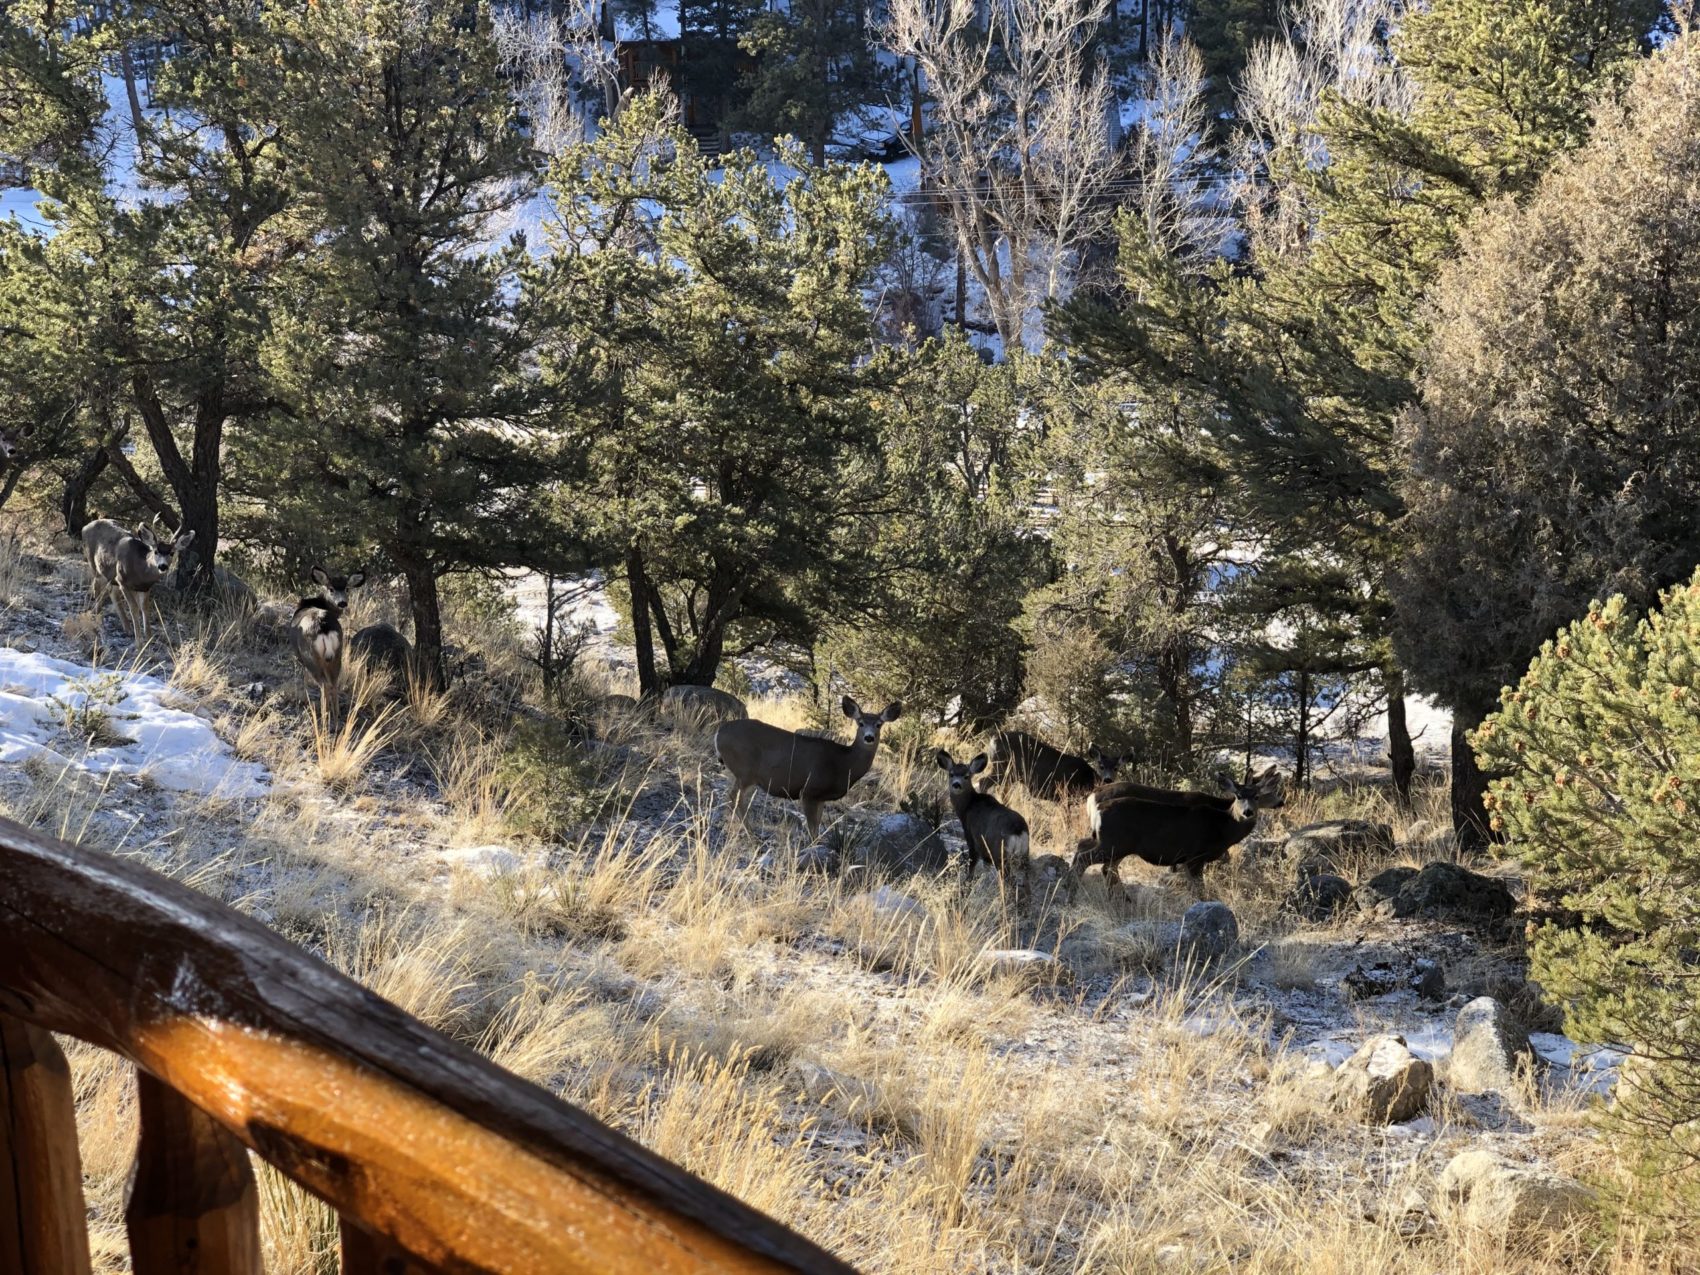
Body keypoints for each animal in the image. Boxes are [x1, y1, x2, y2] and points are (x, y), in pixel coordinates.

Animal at [295, 567, 365, 720]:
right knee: (334, 682)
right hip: (338, 653)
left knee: (324, 684)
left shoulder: (300, 658)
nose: (342, 603)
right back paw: (336, 714)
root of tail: (324, 627)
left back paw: (323, 713)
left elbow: (304, 679)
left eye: (347, 589)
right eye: (331, 589)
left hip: (311, 656)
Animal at [714, 693, 904, 843]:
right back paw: (751, 835)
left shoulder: (821, 797)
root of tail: (718, 733)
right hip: (745, 770)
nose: (869, 737)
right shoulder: (809, 790)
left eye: (879, 724)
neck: (843, 763)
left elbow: (817, 826)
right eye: (860, 723)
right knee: (734, 798)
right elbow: (812, 829)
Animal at [938, 754, 1026, 904]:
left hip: (1000, 852)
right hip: (1024, 854)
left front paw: (966, 886)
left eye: (966, 776)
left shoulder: (972, 836)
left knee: (1007, 879)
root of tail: (1018, 830)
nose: (956, 784)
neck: (967, 807)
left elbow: (972, 865)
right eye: (951, 774)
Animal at [986, 734, 1128, 802]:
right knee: (984, 782)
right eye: (1101, 766)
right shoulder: (1065, 794)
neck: (1086, 778)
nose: (1108, 779)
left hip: (1008, 774)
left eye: (1116, 768)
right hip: (1002, 768)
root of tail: (993, 739)